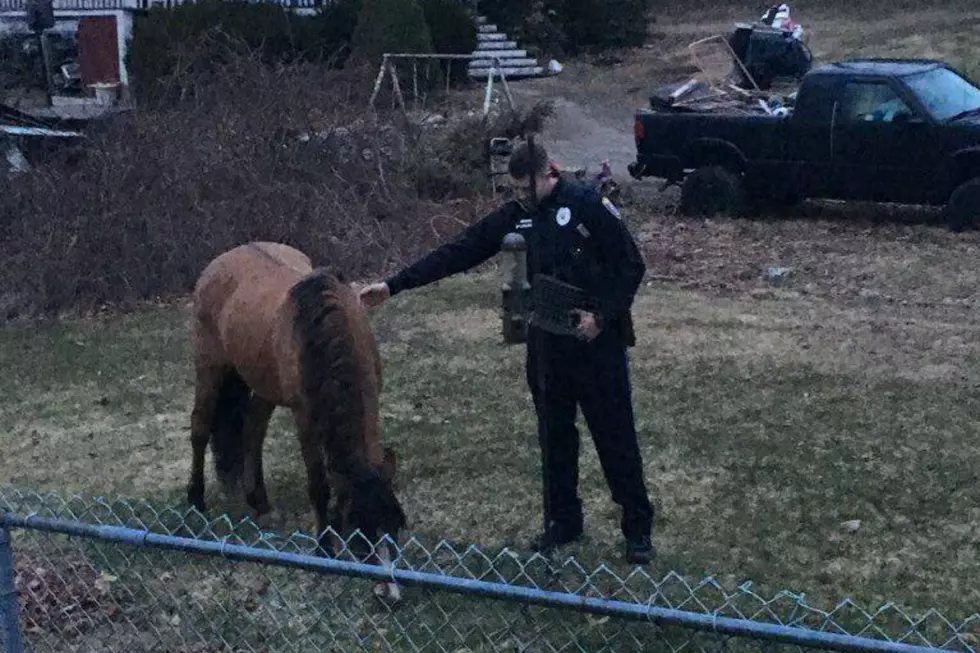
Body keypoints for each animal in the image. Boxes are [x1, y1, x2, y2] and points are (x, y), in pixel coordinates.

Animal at [186, 242, 404, 564]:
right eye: (357, 533)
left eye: (395, 524)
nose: (387, 578)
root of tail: (219, 262)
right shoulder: (305, 418)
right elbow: (318, 483)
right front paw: (324, 545)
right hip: (210, 370)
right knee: (200, 428)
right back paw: (195, 501)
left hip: (262, 383)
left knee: (252, 430)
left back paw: (259, 502)